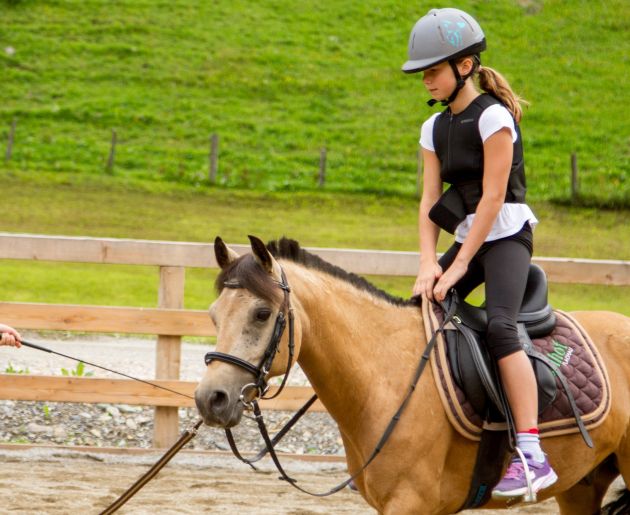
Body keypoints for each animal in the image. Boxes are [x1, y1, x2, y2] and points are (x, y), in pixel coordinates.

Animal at [196, 238, 630, 515]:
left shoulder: (410, 503)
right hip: (581, 486)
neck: (384, 376)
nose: (210, 399)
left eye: (261, 313)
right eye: (214, 315)